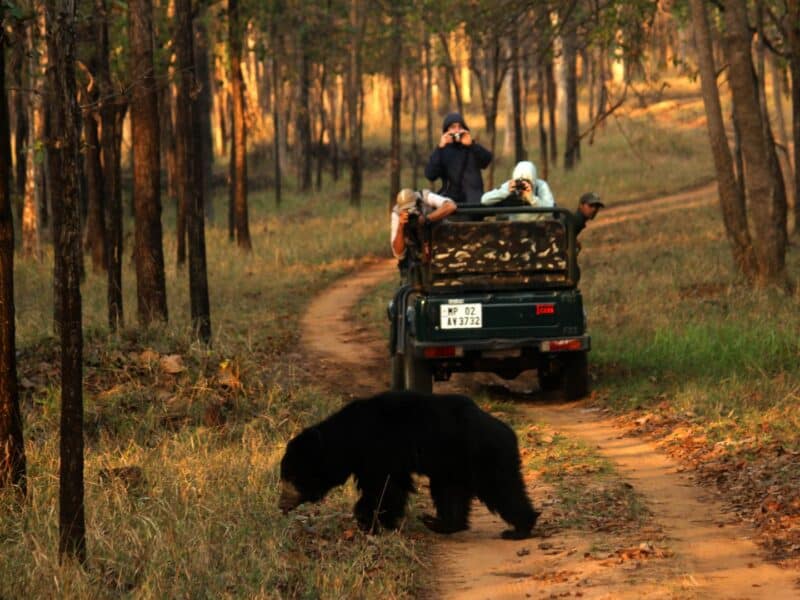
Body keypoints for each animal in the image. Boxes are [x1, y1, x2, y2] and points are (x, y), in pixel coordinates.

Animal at [278, 390, 539, 540]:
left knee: (501, 488)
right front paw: (378, 523)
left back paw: (518, 529)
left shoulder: (379, 451)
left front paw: (372, 522)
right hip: (452, 463)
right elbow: (391, 488)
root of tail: (508, 432)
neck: (348, 440)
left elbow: (384, 489)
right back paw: (439, 523)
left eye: (290, 478)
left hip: (482, 455)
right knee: (450, 493)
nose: (281, 505)